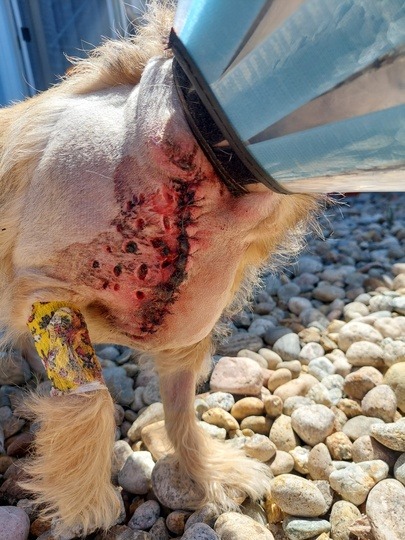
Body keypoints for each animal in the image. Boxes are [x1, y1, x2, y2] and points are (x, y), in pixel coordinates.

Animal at [0, 2, 321, 535]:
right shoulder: (45, 289)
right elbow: (90, 396)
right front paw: (85, 500)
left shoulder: (188, 332)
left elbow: (180, 407)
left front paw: (211, 471)